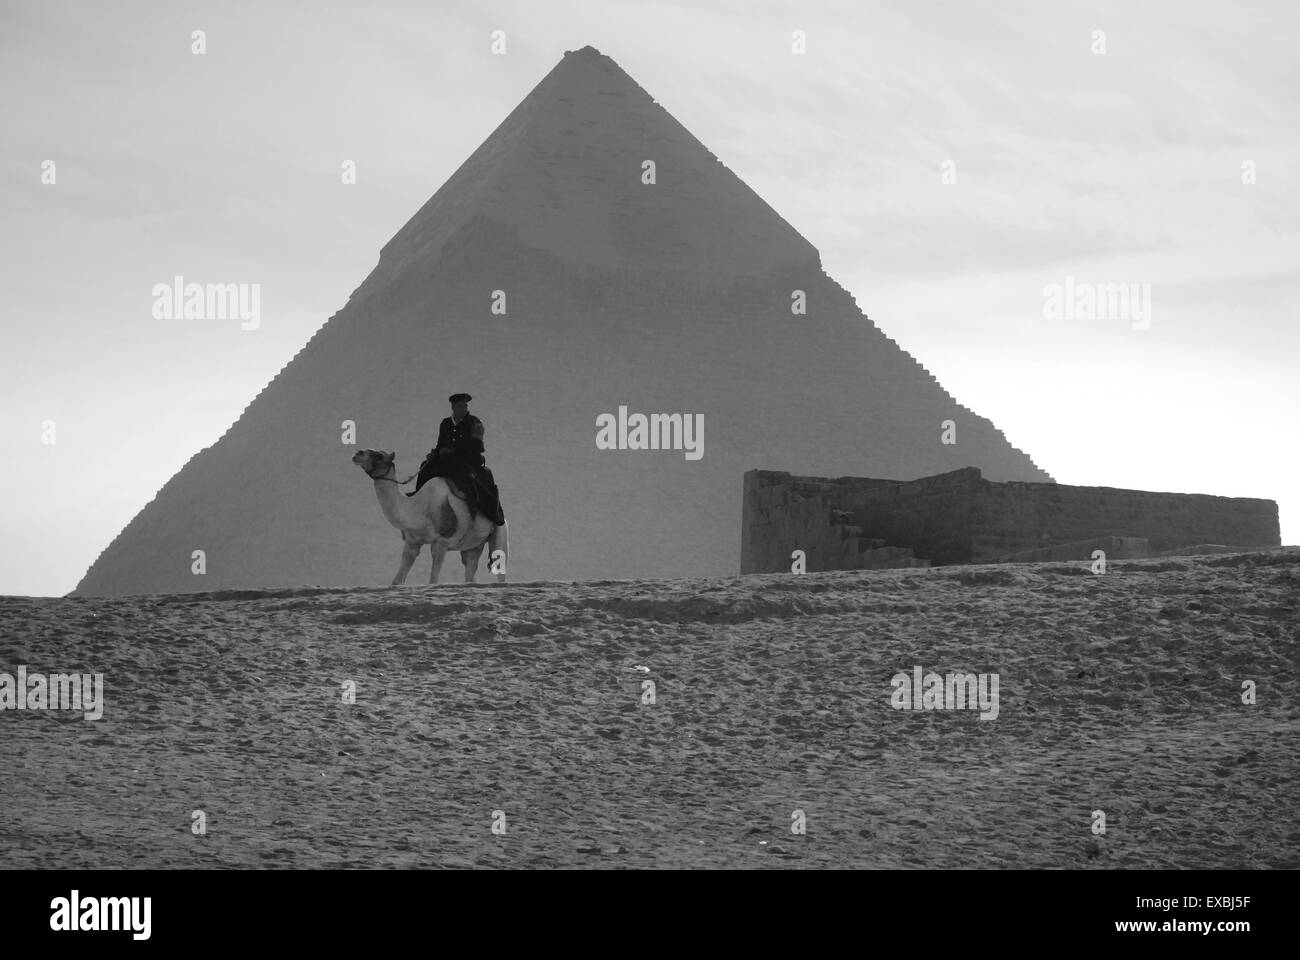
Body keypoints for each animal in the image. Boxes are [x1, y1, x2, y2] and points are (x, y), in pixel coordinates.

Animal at [353, 447, 509, 582]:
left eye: (380, 456)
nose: (358, 453)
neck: (417, 509)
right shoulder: (412, 543)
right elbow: (397, 582)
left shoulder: (441, 543)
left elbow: (433, 581)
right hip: (473, 546)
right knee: (470, 569)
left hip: (500, 533)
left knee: (500, 571)